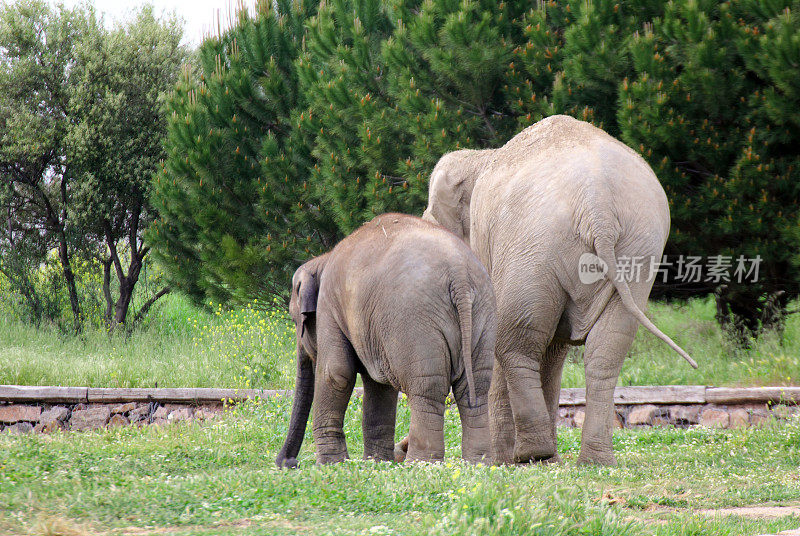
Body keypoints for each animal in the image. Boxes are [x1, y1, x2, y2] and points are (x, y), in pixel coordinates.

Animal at [278, 214, 496, 464]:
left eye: (295, 321)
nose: (289, 464)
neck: (322, 260)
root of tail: (459, 275)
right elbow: (379, 386)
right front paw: (376, 462)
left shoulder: (330, 307)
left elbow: (336, 373)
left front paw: (331, 464)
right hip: (482, 316)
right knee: (475, 389)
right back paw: (478, 463)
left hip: (415, 323)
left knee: (427, 389)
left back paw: (420, 463)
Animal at [422, 115, 696, 466]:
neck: (482, 157)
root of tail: (598, 206)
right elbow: (555, 350)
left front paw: (499, 463)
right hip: (638, 249)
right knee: (607, 348)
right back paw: (590, 460)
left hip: (533, 245)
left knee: (515, 340)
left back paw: (531, 453)